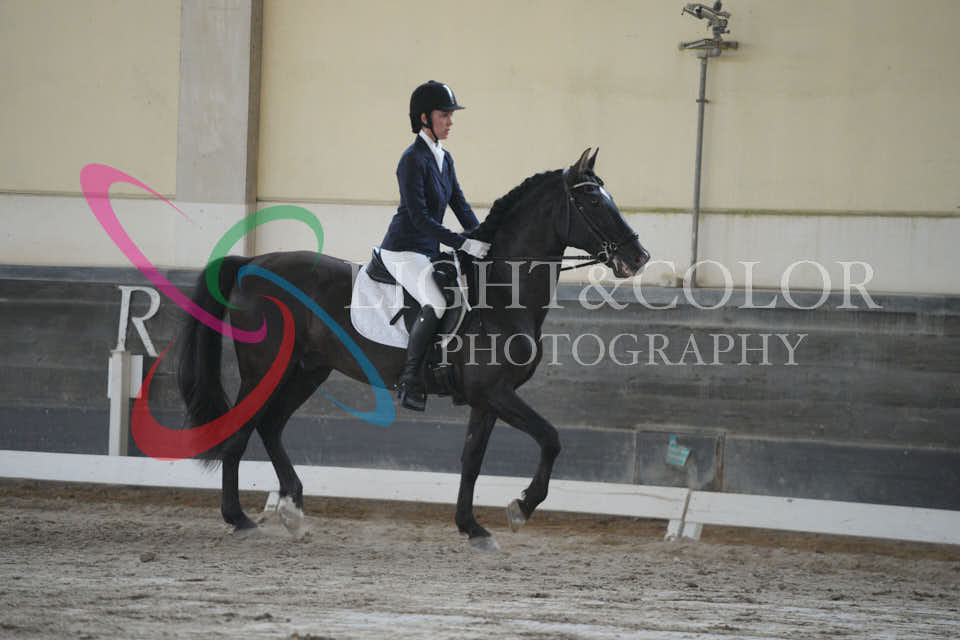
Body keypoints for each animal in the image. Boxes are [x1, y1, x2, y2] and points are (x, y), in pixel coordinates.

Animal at [177, 148, 650, 547]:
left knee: (271, 425)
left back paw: (292, 510)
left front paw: (472, 527)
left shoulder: (487, 397)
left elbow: (472, 458)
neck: (501, 294)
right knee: (242, 430)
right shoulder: (496, 393)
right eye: (593, 202)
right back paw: (238, 517)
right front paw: (521, 507)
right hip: (265, 369)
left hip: (308, 369)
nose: (639, 257)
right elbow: (551, 438)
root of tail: (252, 264)